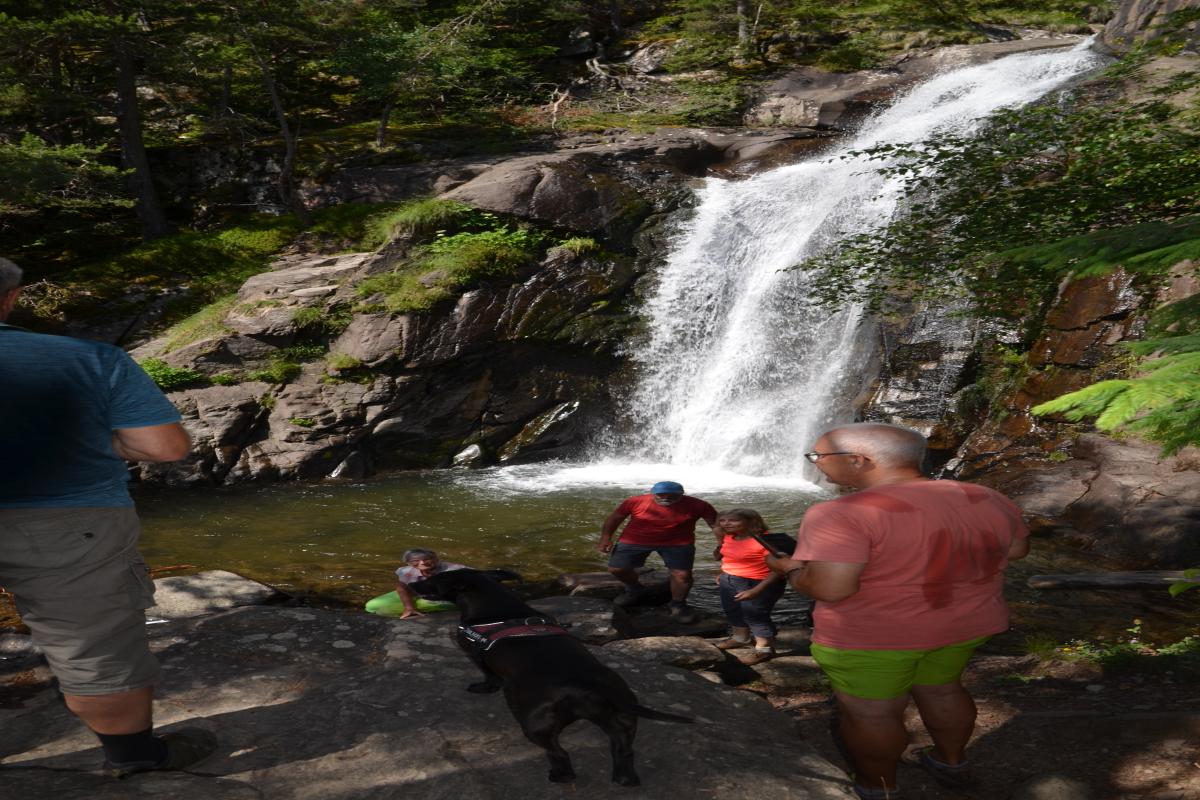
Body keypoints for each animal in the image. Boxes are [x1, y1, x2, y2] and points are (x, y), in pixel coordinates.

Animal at [412, 568, 696, 786]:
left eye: (432, 578)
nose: (412, 583)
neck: (495, 604)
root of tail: (591, 688)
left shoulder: (477, 656)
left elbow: (489, 677)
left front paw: (482, 687)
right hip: (624, 721)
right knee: (624, 750)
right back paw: (625, 778)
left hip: (534, 723)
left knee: (559, 753)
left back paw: (560, 775)